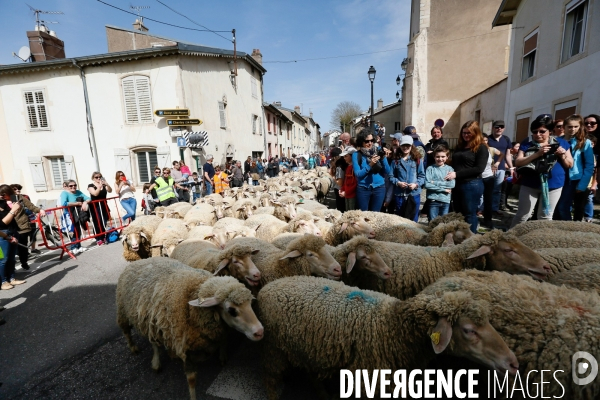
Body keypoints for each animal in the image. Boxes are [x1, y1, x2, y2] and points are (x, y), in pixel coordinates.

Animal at [260, 276, 516, 400]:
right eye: (469, 330)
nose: (513, 363)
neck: (393, 326)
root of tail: (268, 287)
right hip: (274, 349)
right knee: (271, 380)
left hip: (310, 348)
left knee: (313, 374)